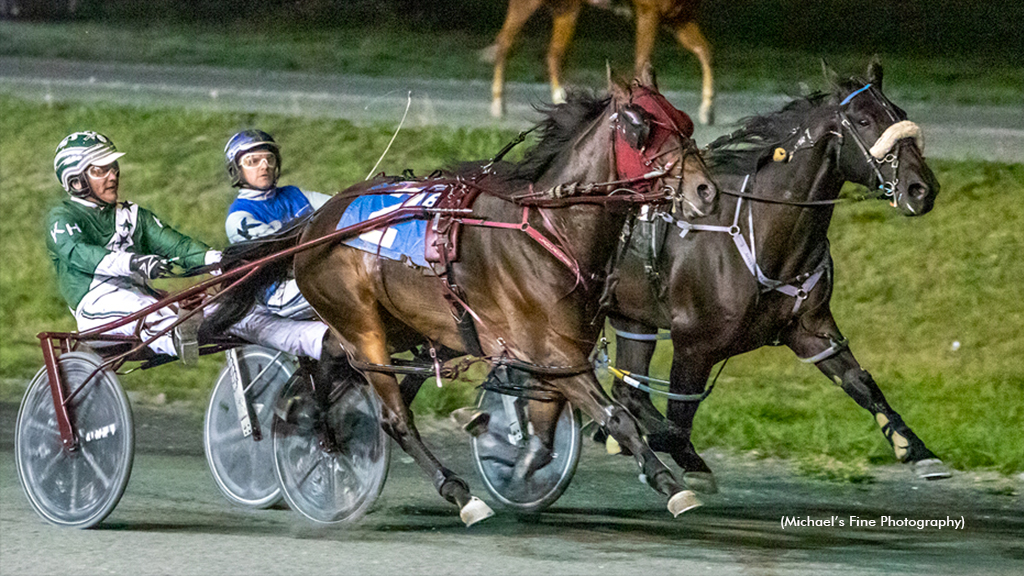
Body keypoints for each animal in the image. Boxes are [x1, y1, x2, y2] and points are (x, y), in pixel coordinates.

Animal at [211, 69, 716, 522]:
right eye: (640, 126)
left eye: (685, 121)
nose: (705, 190)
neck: (547, 228)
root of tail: (315, 225)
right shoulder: (551, 350)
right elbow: (615, 415)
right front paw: (670, 484)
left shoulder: (556, 353)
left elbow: (545, 420)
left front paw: (522, 462)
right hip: (364, 327)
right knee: (392, 415)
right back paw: (454, 491)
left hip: (398, 325)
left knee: (328, 363)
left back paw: (306, 418)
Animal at [485, 0, 712, 124]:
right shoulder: (649, 13)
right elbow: (642, 60)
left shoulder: (680, 18)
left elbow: (704, 52)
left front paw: (707, 109)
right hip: (527, 4)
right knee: (505, 44)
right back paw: (498, 103)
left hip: (567, 9)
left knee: (555, 53)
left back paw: (559, 100)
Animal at [602, 58, 946, 491]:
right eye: (864, 120)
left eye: (899, 114)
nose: (922, 189)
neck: (761, 230)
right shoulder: (694, 343)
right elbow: (679, 419)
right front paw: (672, 451)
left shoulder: (809, 328)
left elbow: (860, 382)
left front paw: (915, 449)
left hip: (634, 318)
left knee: (628, 389)